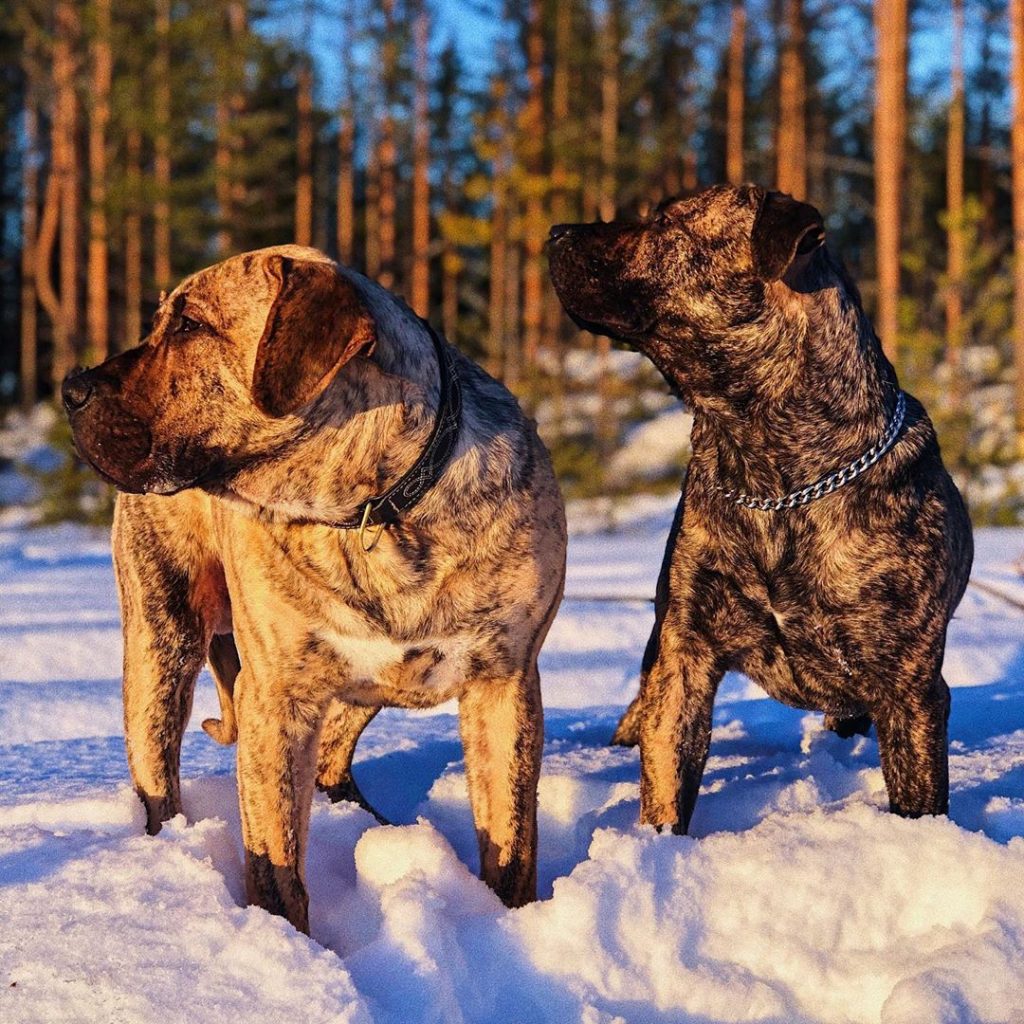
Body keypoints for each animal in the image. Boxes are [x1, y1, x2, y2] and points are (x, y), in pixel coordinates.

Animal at [62, 245, 565, 929]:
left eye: (190, 325)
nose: (71, 388)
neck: (375, 509)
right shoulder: (276, 696)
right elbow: (275, 860)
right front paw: (285, 939)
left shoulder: (504, 681)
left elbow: (511, 837)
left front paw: (506, 923)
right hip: (162, 633)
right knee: (157, 768)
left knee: (334, 750)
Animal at [548, 186, 970, 831]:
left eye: (665, 222)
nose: (555, 232)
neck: (771, 475)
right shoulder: (684, 653)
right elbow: (666, 777)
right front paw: (658, 844)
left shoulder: (909, 686)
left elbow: (917, 799)